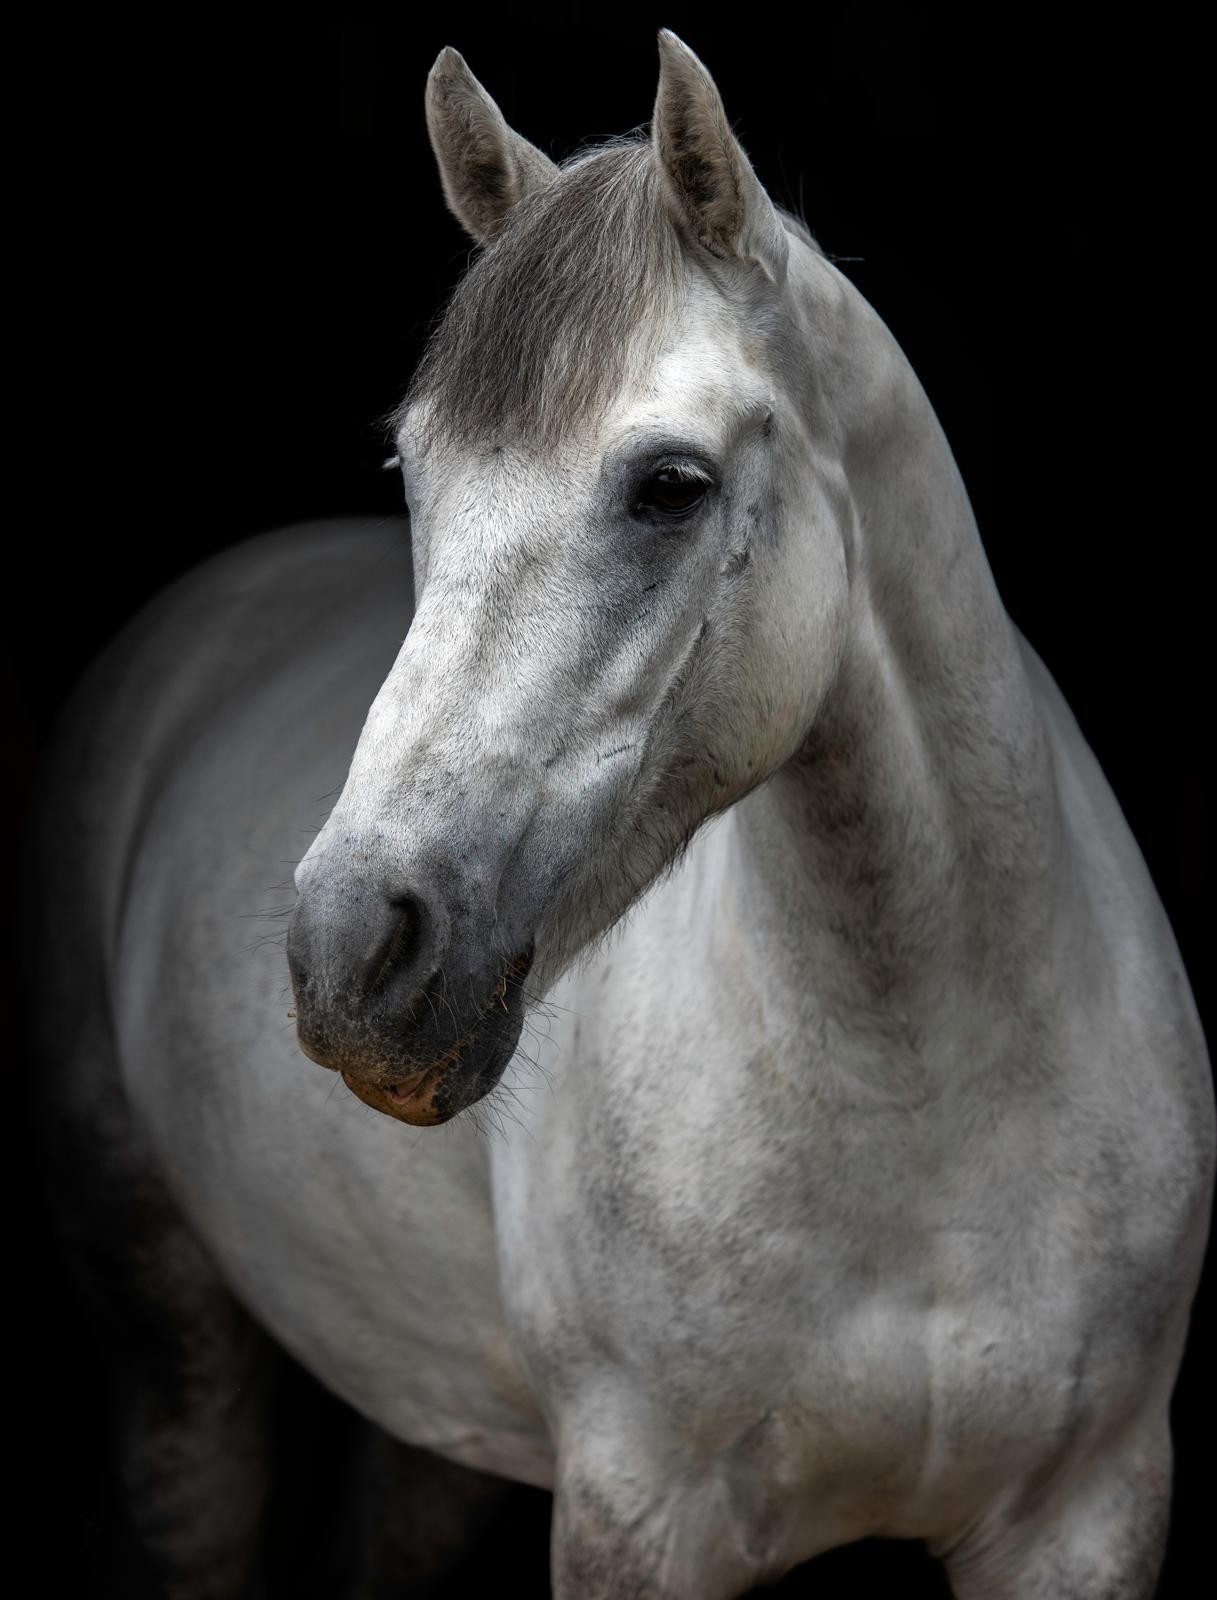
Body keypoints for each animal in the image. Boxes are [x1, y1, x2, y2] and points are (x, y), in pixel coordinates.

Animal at [30, 30, 1213, 1599]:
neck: (923, 1100)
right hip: (173, 1343)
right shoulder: (639, 1520)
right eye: (415, 471)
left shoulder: (1085, 1516)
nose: (351, 952)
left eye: (668, 487)